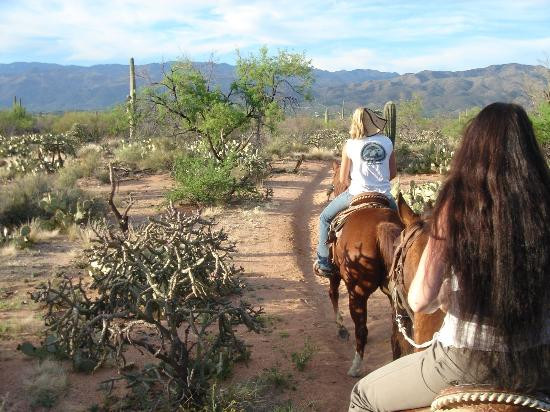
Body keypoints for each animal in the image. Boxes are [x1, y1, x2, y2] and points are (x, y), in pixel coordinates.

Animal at [326, 162, 404, 376]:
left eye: (334, 181)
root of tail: (380, 226)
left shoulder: (334, 271)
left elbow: (333, 293)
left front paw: (340, 326)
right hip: (396, 295)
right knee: (397, 333)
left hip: (357, 291)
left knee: (362, 330)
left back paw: (355, 367)